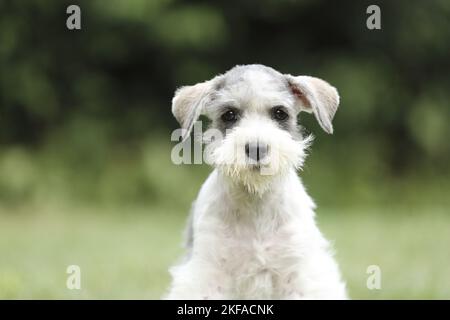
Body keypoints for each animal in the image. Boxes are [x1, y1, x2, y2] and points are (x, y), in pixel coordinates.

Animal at [167, 64, 346, 300]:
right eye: (229, 114)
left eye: (280, 113)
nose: (256, 148)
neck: (256, 200)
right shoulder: (208, 273)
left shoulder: (299, 273)